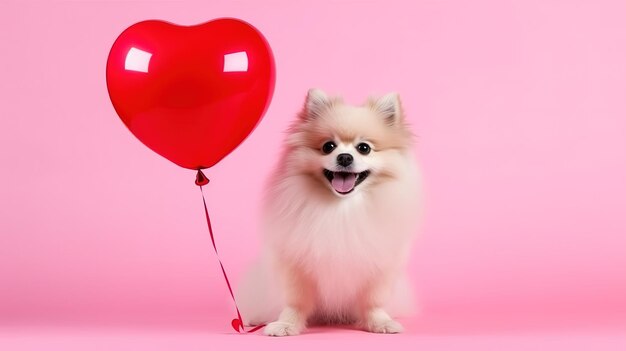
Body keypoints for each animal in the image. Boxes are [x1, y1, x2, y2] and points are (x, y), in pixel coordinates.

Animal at [236, 88, 422, 336]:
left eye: (364, 148)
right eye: (328, 147)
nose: (344, 157)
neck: (342, 209)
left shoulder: (378, 267)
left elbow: (372, 301)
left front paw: (380, 322)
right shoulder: (296, 266)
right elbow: (296, 301)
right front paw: (286, 324)